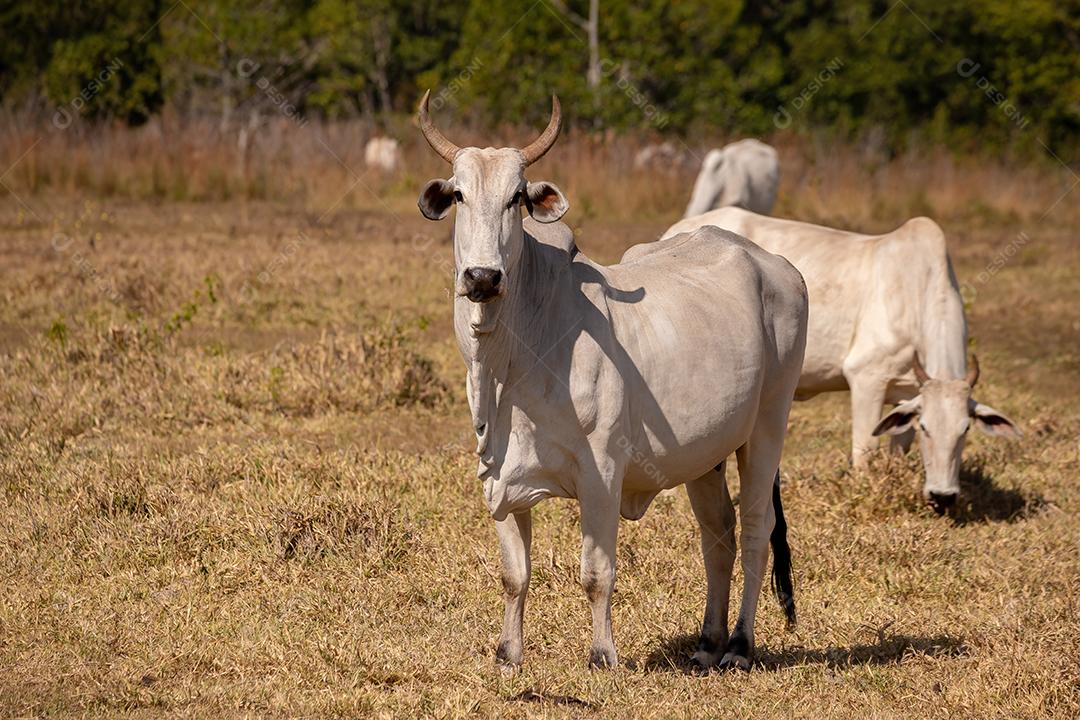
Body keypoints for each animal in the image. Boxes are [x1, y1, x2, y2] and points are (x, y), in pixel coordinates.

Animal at [416, 91, 808, 671]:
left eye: (516, 199)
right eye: (460, 194)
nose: (483, 277)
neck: (513, 357)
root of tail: (778, 267)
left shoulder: (602, 474)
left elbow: (597, 574)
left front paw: (602, 654)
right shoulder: (499, 477)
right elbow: (515, 575)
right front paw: (509, 653)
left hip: (767, 428)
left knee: (757, 531)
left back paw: (738, 645)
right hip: (706, 454)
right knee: (718, 534)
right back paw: (707, 642)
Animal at [661, 207, 1021, 508]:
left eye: (965, 430)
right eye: (926, 429)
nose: (943, 495)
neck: (917, 293)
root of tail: (675, 229)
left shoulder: (906, 395)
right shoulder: (867, 378)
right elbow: (864, 451)